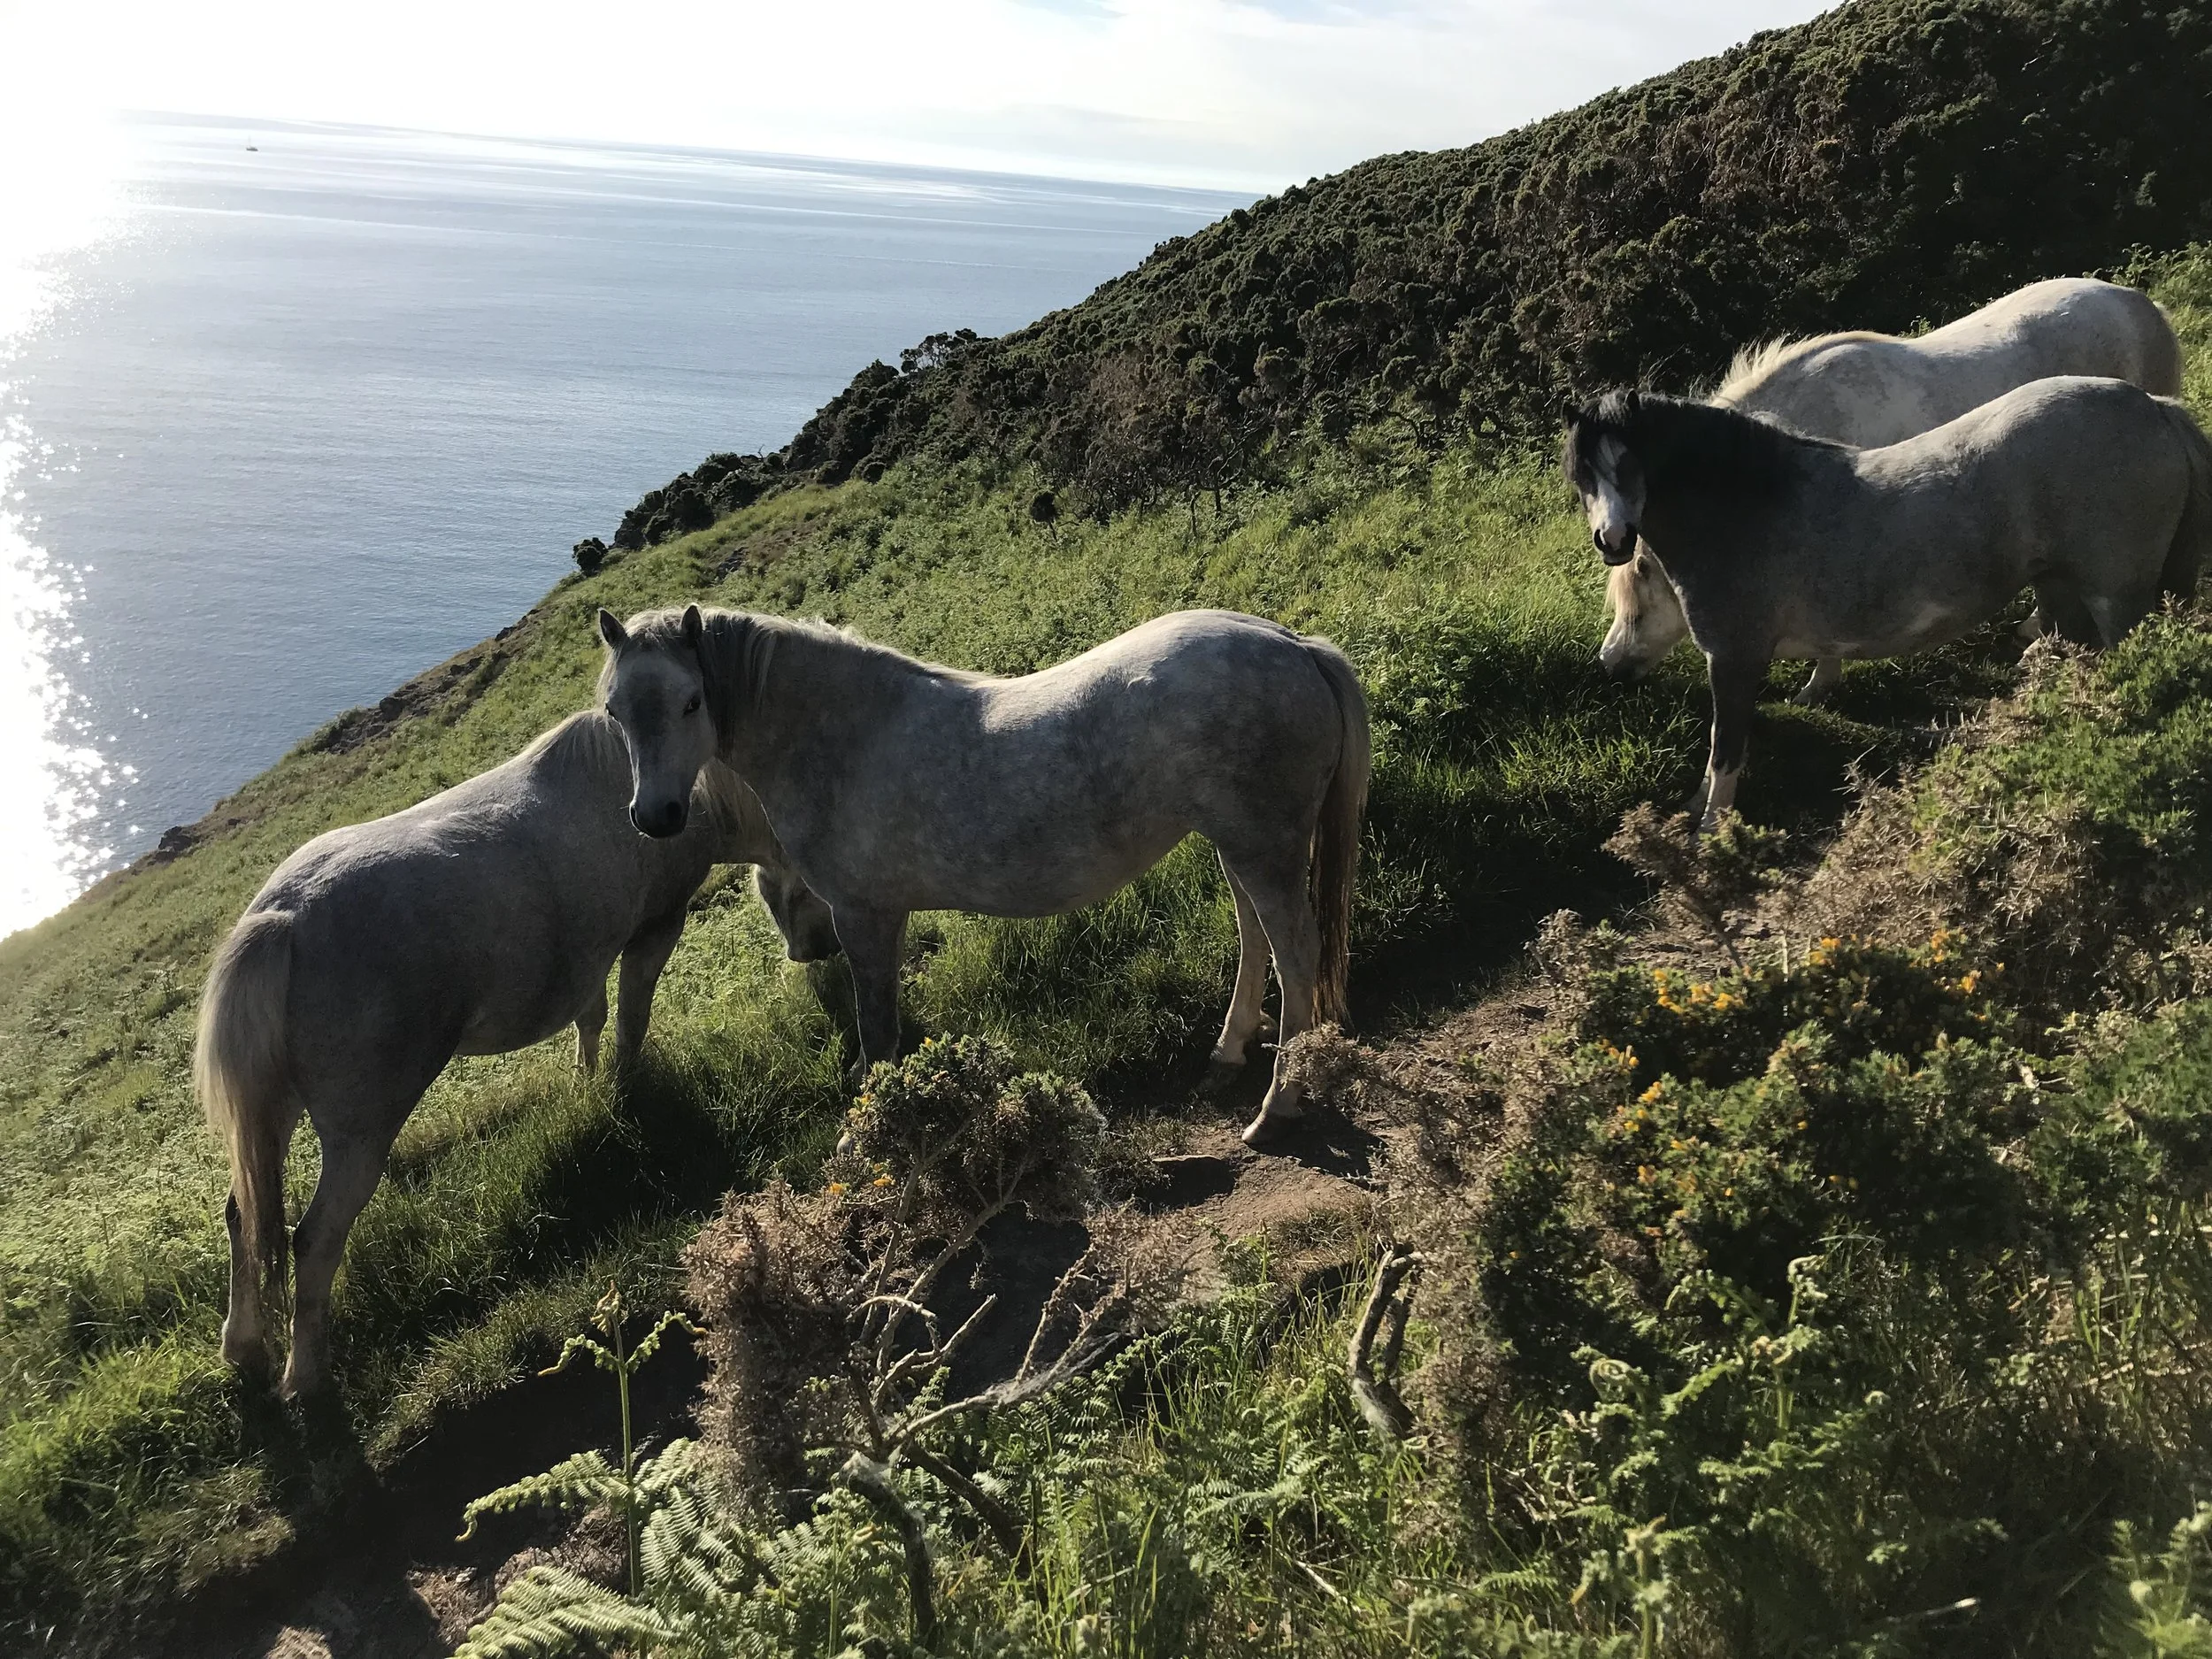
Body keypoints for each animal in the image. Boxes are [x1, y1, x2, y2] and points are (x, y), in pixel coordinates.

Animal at [200, 709, 835, 1397]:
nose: (824, 950)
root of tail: (282, 918)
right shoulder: (655, 926)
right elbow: (631, 1018)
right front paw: (623, 1087)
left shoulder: (586, 958)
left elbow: (592, 1019)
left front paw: (587, 1088)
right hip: (360, 1132)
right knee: (313, 1239)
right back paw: (304, 1377)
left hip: (273, 1110)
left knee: (243, 1217)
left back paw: (244, 1348)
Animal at [594, 605, 1370, 1146]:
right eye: (615, 710)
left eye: (691, 700)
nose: (656, 815)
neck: (843, 738)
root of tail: (1295, 647)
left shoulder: (865, 916)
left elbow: (878, 1028)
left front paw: (865, 1132)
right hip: (1240, 847)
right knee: (1254, 936)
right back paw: (1229, 1050)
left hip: (1263, 848)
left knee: (1296, 955)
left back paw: (1278, 1107)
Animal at [1564, 379, 2212, 830]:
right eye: (1581, 476)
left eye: (1629, 464)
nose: (1613, 541)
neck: (1748, 506)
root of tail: (2153, 406)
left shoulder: (1733, 660)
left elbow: (1725, 748)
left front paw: (1709, 824)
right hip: (2062, 584)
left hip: (2117, 598)